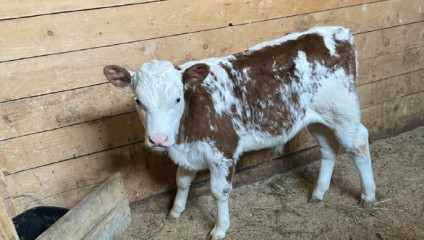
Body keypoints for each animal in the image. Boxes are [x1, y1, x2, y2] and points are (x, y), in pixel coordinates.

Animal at [102, 25, 374, 239]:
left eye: (178, 99)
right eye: (138, 101)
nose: (158, 139)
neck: (185, 131)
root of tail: (337, 31)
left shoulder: (223, 150)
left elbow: (218, 191)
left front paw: (220, 228)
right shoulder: (191, 151)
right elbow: (181, 180)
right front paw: (175, 211)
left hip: (343, 113)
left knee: (359, 144)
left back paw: (368, 195)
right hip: (317, 118)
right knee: (328, 148)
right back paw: (318, 193)